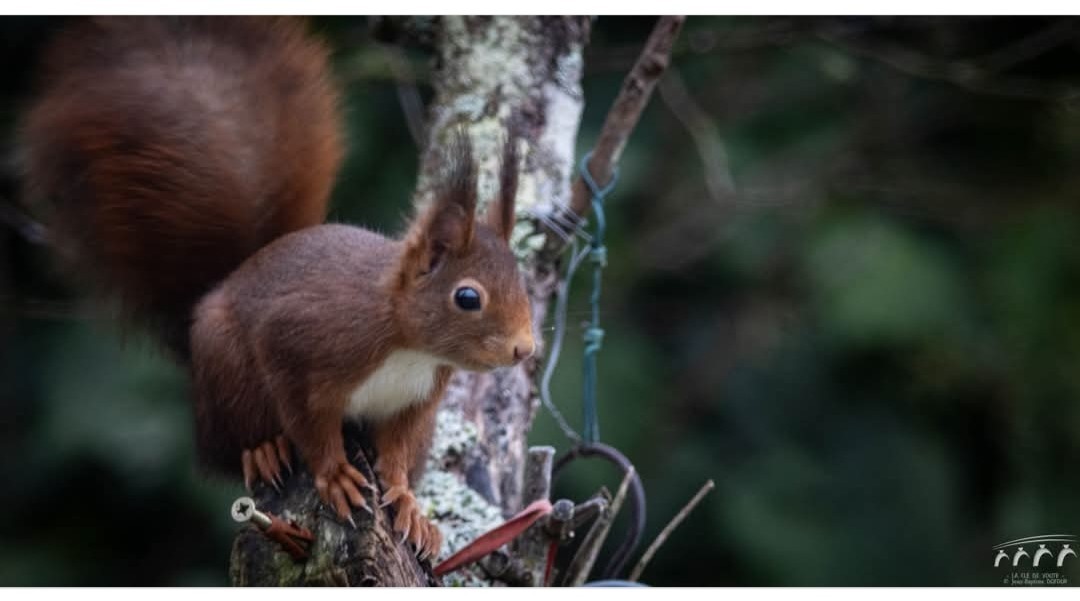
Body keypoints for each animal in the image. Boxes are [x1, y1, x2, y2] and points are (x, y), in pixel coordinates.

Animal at [21, 15, 535, 557]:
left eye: (520, 281)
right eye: (467, 297)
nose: (524, 349)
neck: (405, 343)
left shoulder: (416, 400)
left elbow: (395, 453)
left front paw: (408, 503)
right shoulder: (301, 343)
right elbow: (309, 423)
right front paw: (335, 476)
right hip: (226, 372)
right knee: (230, 447)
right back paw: (264, 449)